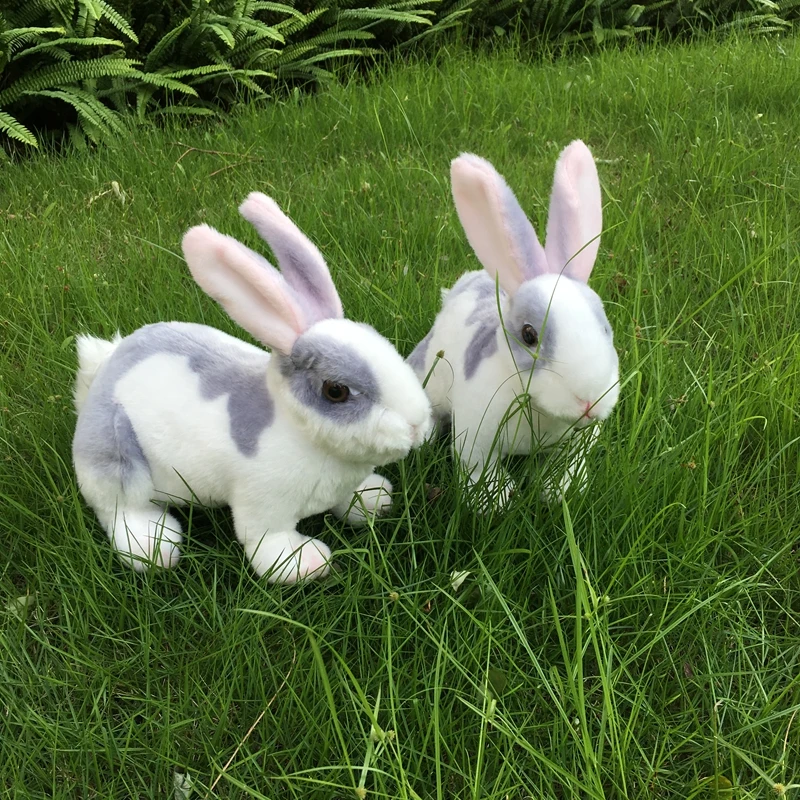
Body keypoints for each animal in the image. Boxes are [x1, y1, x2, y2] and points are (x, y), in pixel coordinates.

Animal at [72, 192, 433, 583]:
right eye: (335, 391)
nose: (417, 426)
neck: (297, 428)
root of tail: (103, 370)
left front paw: (374, 499)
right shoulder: (262, 505)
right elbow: (266, 540)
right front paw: (305, 562)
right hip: (115, 458)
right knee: (119, 510)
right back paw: (154, 545)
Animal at [407, 140, 620, 509]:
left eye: (605, 327)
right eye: (529, 335)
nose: (589, 402)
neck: (537, 406)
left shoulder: (579, 440)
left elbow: (568, 462)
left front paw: (562, 490)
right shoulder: (476, 435)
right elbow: (479, 467)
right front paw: (492, 501)